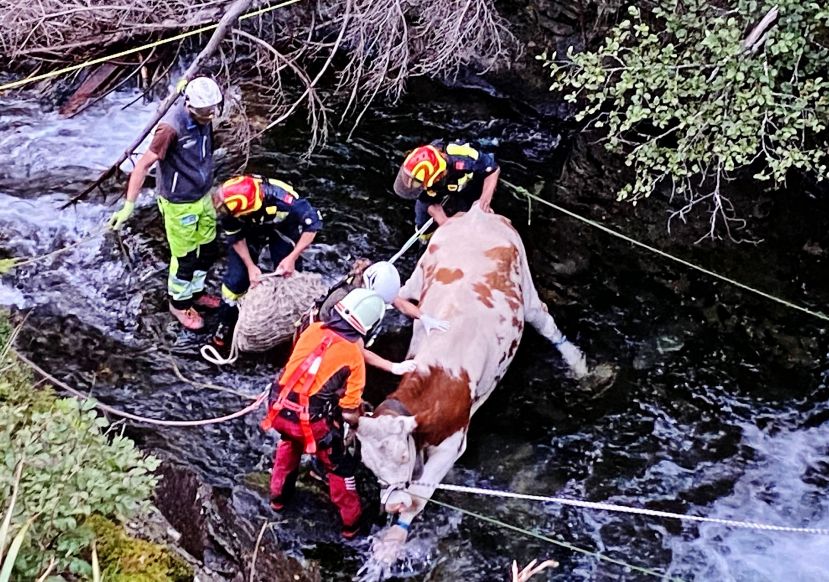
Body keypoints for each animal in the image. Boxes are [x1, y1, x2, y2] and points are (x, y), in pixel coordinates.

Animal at [356, 205, 588, 560]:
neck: (441, 373)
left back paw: (579, 366)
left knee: (545, 321)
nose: (390, 504)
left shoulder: (453, 443)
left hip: (526, 284)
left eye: (401, 457)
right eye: (368, 464)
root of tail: (478, 213)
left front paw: (389, 547)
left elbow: (419, 495)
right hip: (417, 277)